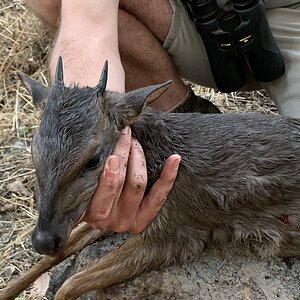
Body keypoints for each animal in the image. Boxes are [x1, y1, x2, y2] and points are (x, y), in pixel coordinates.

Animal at [18, 57, 300, 298]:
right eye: (34, 150)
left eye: (93, 160)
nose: (43, 240)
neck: (161, 159)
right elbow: (50, 259)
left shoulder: (173, 233)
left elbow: (70, 283)